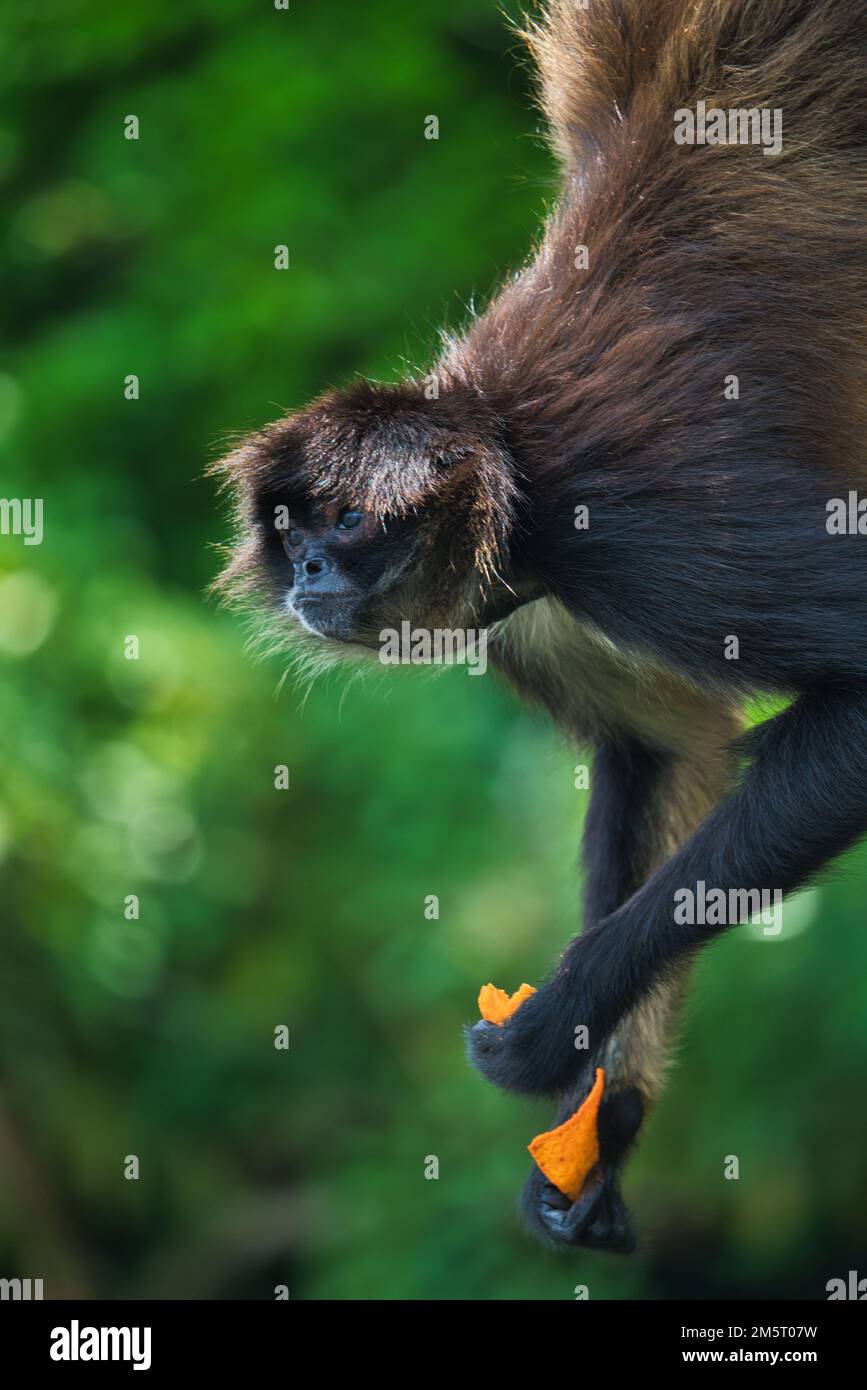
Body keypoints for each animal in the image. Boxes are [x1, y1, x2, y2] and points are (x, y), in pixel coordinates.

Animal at [215, 0, 867, 1256]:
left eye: (349, 521)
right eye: (293, 527)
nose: (309, 568)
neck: (516, 474)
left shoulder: (640, 531)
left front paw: (559, 1019)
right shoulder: (523, 604)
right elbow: (670, 744)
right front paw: (604, 1119)